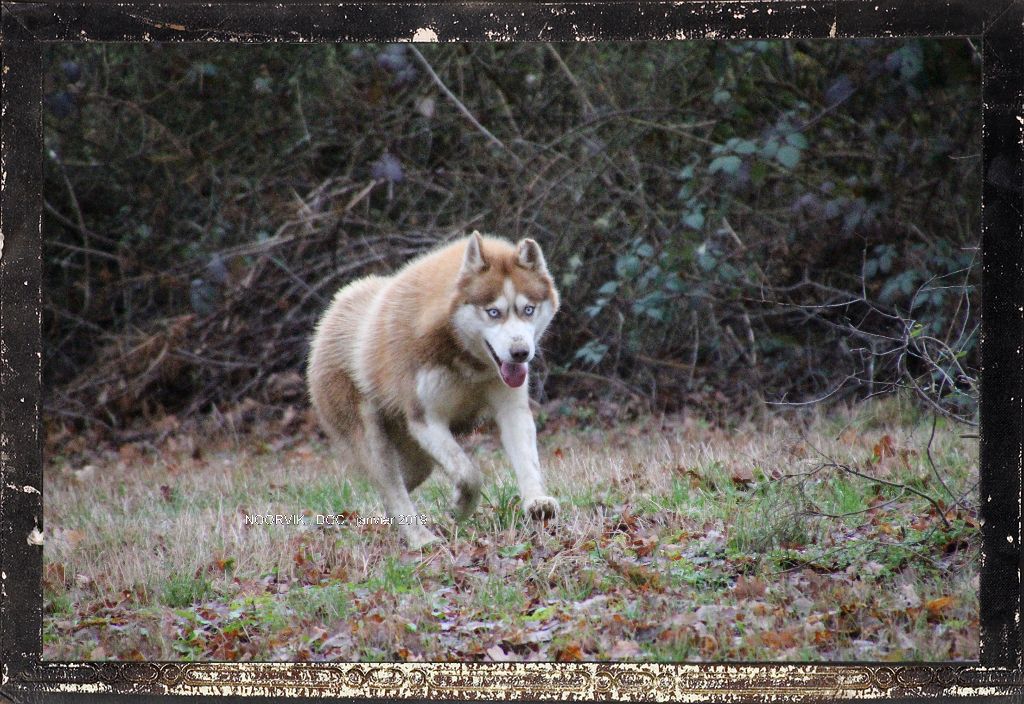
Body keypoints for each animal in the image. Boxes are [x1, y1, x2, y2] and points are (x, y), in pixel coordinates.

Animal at [307, 233, 561, 548]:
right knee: (393, 490)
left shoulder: (511, 409)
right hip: (373, 439)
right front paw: (461, 506)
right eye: (493, 312)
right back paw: (420, 539)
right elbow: (469, 473)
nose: (520, 353)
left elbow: (528, 462)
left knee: (395, 488)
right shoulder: (425, 420)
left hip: (417, 459)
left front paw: (536, 502)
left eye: (528, 310)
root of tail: (330, 314)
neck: (467, 359)